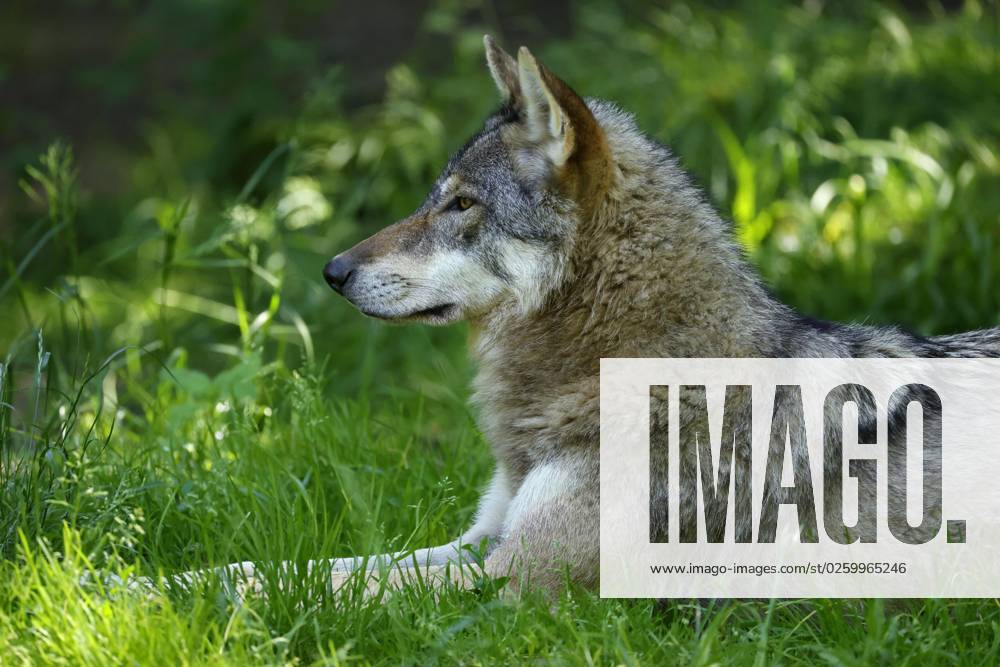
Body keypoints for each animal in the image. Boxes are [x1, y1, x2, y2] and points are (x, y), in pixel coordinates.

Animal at [171, 36, 1000, 598]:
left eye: (461, 204)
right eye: (437, 196)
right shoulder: (479, 540)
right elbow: (281, 566)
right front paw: (163, 583)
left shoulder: (512, 577)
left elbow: (318, 587)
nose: (333, 272)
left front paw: (167, 603)